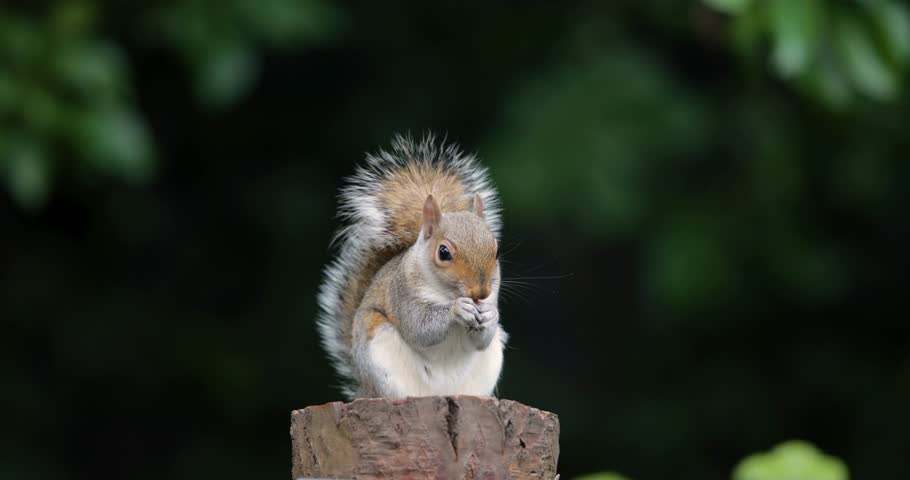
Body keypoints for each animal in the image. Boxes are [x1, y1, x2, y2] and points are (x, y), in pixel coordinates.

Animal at [317, 134, 507, 399]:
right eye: (444, 252)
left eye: (496, 250)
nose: (481, 293)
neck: (447, 292)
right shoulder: (402, 292)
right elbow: (418, 327)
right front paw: (457, 309)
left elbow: (482, 340)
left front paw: (489, 314)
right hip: (381, 349)